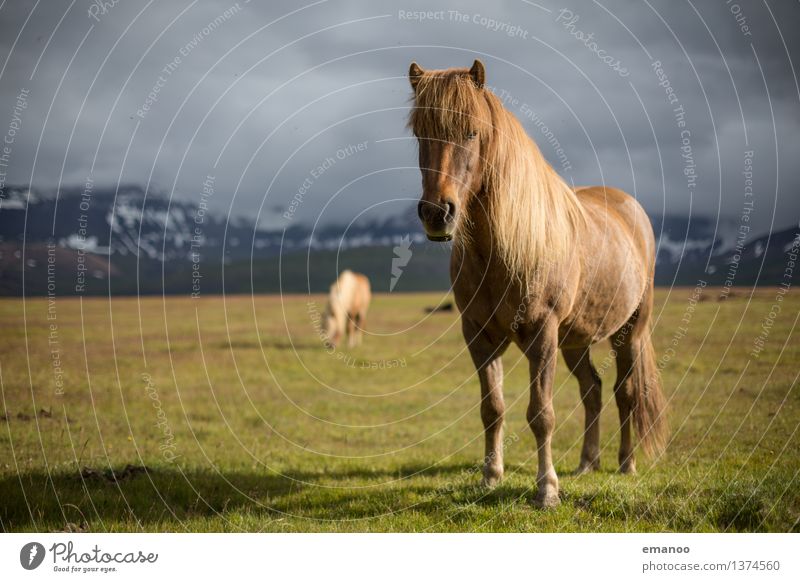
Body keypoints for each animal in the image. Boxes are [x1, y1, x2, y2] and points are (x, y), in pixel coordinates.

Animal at [410, 57, 664, 508]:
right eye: (419, 133)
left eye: (471, 131)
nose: (437, 214)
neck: (501, 249)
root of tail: (629, 208)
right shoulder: (478, 335)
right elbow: (492, 408)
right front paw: (490, 476)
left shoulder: (542, 333)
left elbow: (541, 414)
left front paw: (546, 489)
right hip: (576, 340)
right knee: (593, 390)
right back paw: (586, 464)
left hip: (630, 332)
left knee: (627, 393)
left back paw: (626, 464)